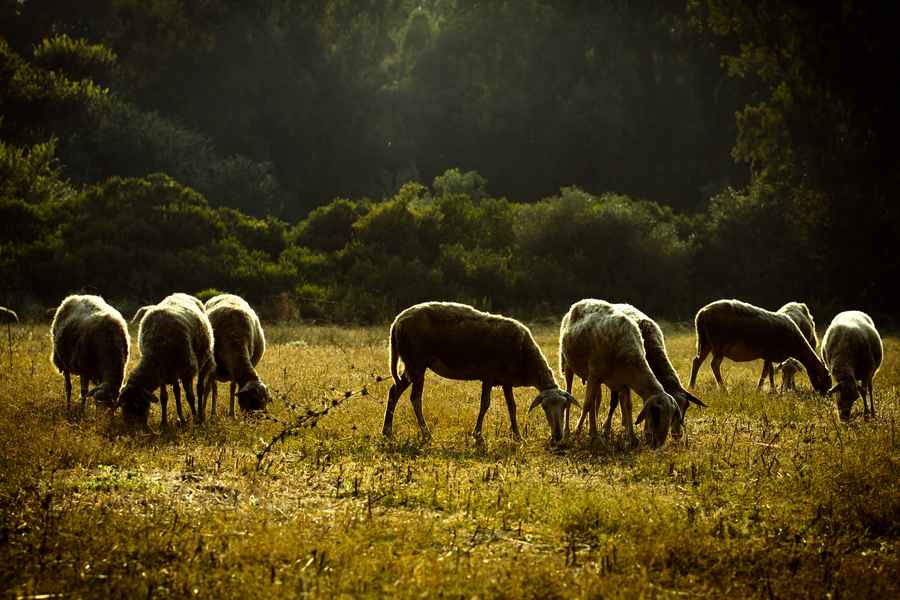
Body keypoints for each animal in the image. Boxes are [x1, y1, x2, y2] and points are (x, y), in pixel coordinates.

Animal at [118, 292, 215, 428]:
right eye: (123, 406)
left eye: (138, 405)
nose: (132, 428)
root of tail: (181, 293)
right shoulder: (162, 374)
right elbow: (164, 397)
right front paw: (164, 422)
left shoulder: (187, 371)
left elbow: (190, 396)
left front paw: (195, 419)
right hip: (173, 371)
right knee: (177, 391)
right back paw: (181, 419)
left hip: (203, 360)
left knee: (199, 389)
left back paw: (200, 416)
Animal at [380, 302, 576, 442]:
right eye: (544, 407)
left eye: (565, 407)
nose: (558, 436)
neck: (525, 355)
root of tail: (396, 322)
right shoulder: (488, 376)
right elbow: (485, 404)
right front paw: (478, 434)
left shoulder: (506, 380)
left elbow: (512, 407)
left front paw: (517, 435)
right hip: (417, 363)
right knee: (415, 398)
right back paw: (426, 433)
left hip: (411, 365)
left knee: (394, 391)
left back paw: (387, 431)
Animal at [688, 298, 828, 394]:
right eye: (825, 377)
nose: (825, 394)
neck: (796, 345)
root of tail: (701, 314)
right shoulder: (770, 352)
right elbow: (767, 372)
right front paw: (760, 390)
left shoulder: (768, 355)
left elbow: (769, 371)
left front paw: (770, 390)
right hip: (719, 345)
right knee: (714, 364)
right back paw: (724, 390)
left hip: (706, 343)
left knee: (697, 361)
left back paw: (691, 387)